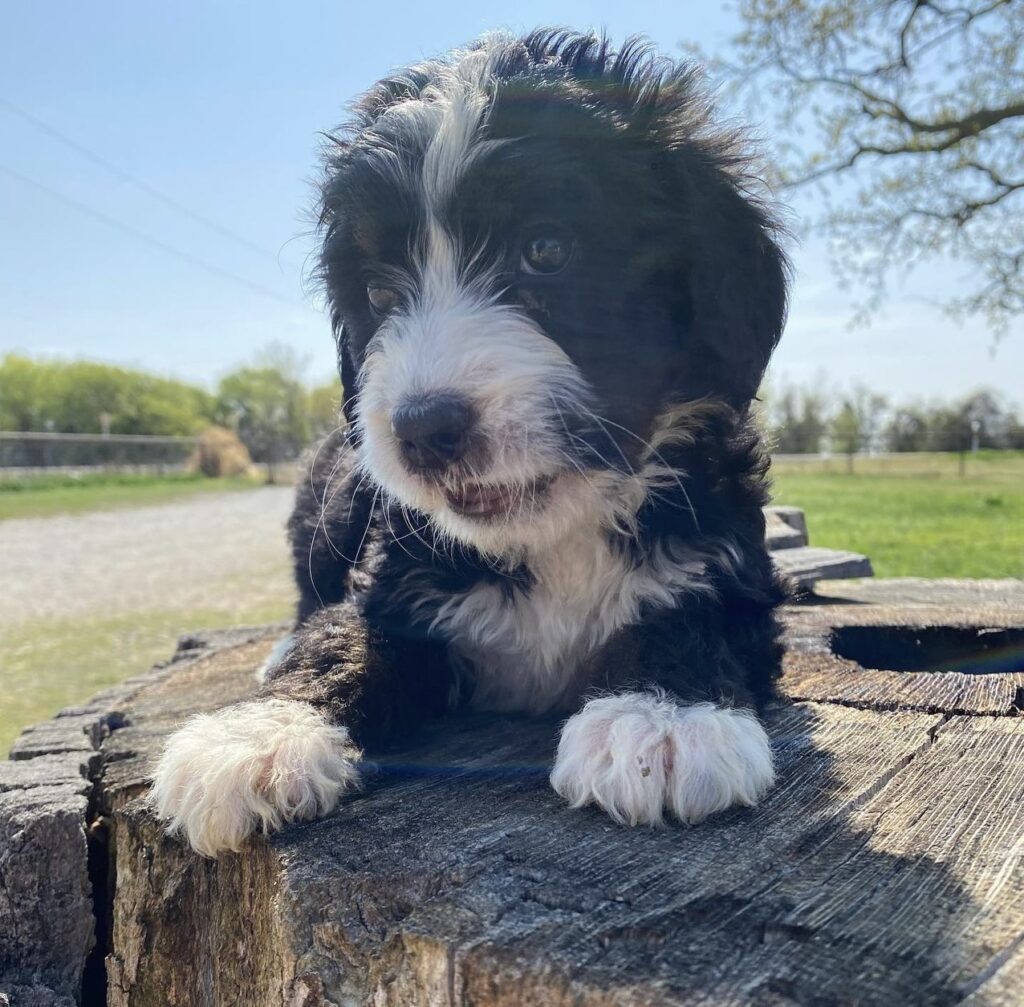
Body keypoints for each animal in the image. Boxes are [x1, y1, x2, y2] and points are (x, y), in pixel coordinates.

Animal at [151, 27, 790, 856]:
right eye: (379, 292)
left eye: (546, 250)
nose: (422, 427)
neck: (554, 539)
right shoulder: (395, 581)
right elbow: (347, 639)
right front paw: (258, 736)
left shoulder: (726, 551)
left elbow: (699, 608)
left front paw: (662, 720)